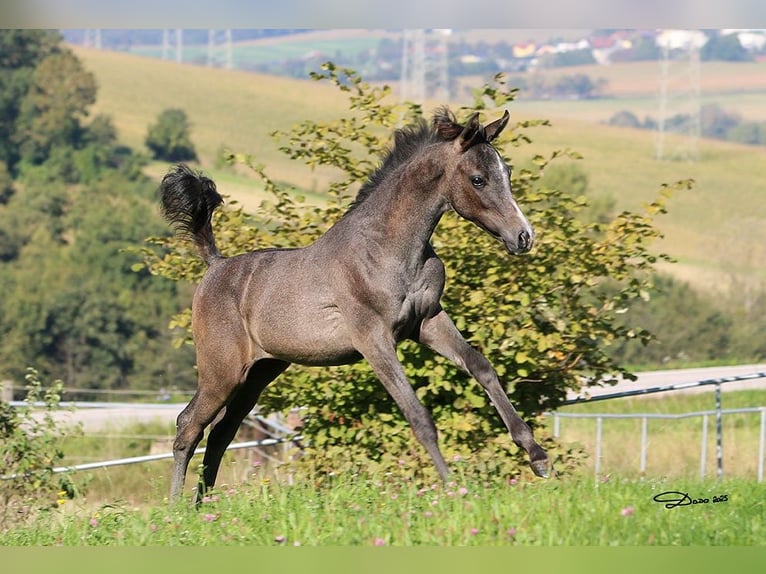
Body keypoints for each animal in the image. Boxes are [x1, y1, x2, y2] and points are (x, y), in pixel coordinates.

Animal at [159, 107, 550, 502]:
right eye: (478, 179)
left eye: (507, 174)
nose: (524, 236)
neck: (386, 249)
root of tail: (215, 265)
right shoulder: (373, 339)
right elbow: (418, 415)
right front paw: (453, 486)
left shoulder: (427, 321)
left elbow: (481, 366)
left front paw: (538, 456)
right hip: (222, 372)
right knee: (189, 425)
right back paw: (177, 507)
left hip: (259, 373)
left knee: (221, 433)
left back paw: (203, 505)